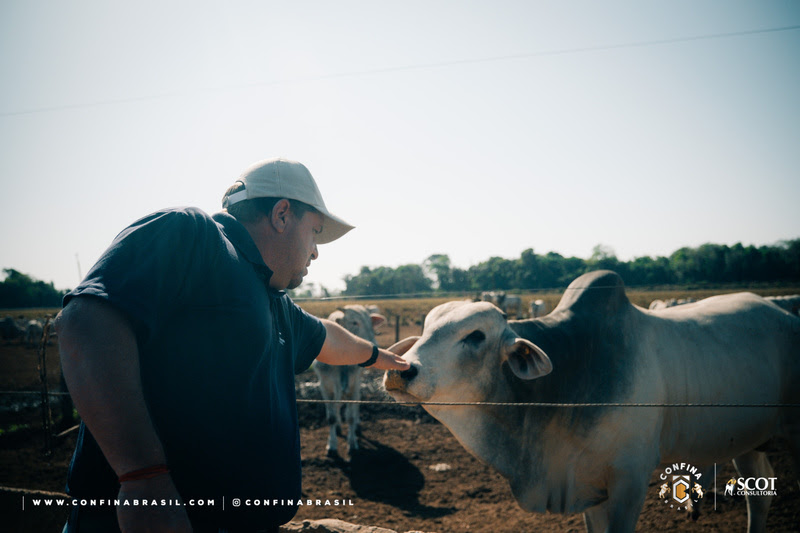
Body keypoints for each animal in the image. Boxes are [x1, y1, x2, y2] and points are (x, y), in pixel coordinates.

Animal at [384, 272, 796, 528]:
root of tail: (784, 314)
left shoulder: (630, 480)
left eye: (475, 335)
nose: (401, 370)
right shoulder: (589, 488)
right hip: (748, 439)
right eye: (425, 328)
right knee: (759, 494)